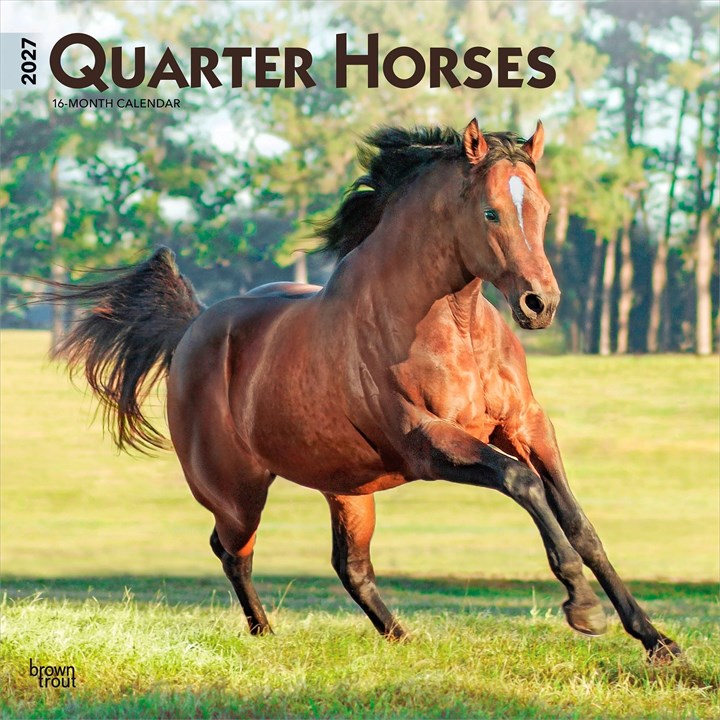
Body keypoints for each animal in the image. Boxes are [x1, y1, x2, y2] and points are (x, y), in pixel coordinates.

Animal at [42, 119, 680, 662]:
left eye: (543, 209)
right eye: (492, 212)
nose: (539, 304)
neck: (455, 325)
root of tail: (194, 328)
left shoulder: (525, 424)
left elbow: (579, 523)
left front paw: (657, 641)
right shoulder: (426, 442)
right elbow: (524, 484)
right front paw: (583, 608)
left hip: (348, 490)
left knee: (348, 565)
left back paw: (402, 637)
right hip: (237, 493)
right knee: (232, 551)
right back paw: (266, 634)